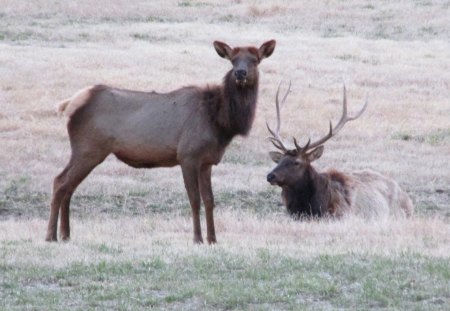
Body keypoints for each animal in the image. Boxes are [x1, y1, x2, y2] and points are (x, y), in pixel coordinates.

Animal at [47, 39, 276, 244]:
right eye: (233, 60)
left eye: (255, 60)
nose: (240, 73)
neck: (220, 121)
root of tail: (69, 104)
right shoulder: (188, 155)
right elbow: (194, 199)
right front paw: (197, 239)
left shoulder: (207, 161)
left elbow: (210, 200)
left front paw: (213, 239)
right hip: (89, 148)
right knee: (60, 181)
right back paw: (51, 236)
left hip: (87, 151)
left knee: (69, 186)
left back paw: (66, 235)